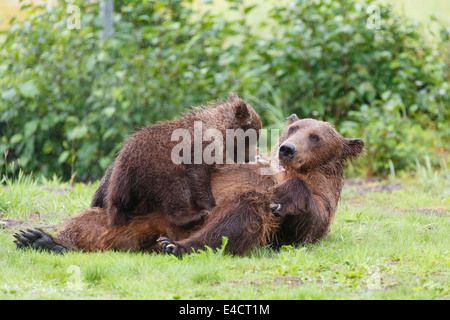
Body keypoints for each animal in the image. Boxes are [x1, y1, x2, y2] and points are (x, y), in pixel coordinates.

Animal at [14, 115, 364, 255]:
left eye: (315, 136)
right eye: (292, 128)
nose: (287, 149)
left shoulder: (321, 195)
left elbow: (308, 223)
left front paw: (284, 198)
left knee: (240, 214)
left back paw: (176, 247)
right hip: (130, 220)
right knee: (87, 223)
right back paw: (42, 239)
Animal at [93, 92, 262, 228]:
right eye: (253, 137)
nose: (253, 156)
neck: (221, 130)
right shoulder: (200, 147)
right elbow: (198, 174)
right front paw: (209, 205)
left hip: (122, 181)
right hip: (158, 166)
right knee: (177, 188)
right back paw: (191, 216)